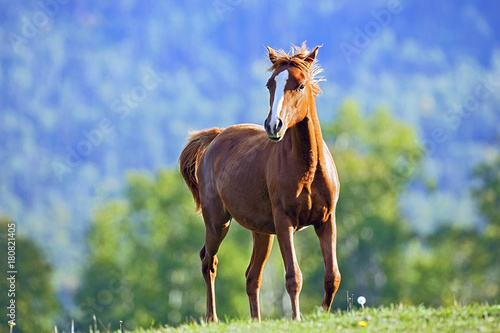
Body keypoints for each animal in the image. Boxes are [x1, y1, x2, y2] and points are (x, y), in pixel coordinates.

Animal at [179, 44, 340, 322]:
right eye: (269, 84)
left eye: (300, 85)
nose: (274, 125)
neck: (308, 170)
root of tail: (216, 137)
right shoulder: (285, 222)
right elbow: (293, 276)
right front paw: (297, 319)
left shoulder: (326, 220)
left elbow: (332, 276)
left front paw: (322, 315)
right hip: (217, 222)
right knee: (208, 261)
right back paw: (212, 318)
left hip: (262, 232)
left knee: (252, 276)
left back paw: (255, 320)